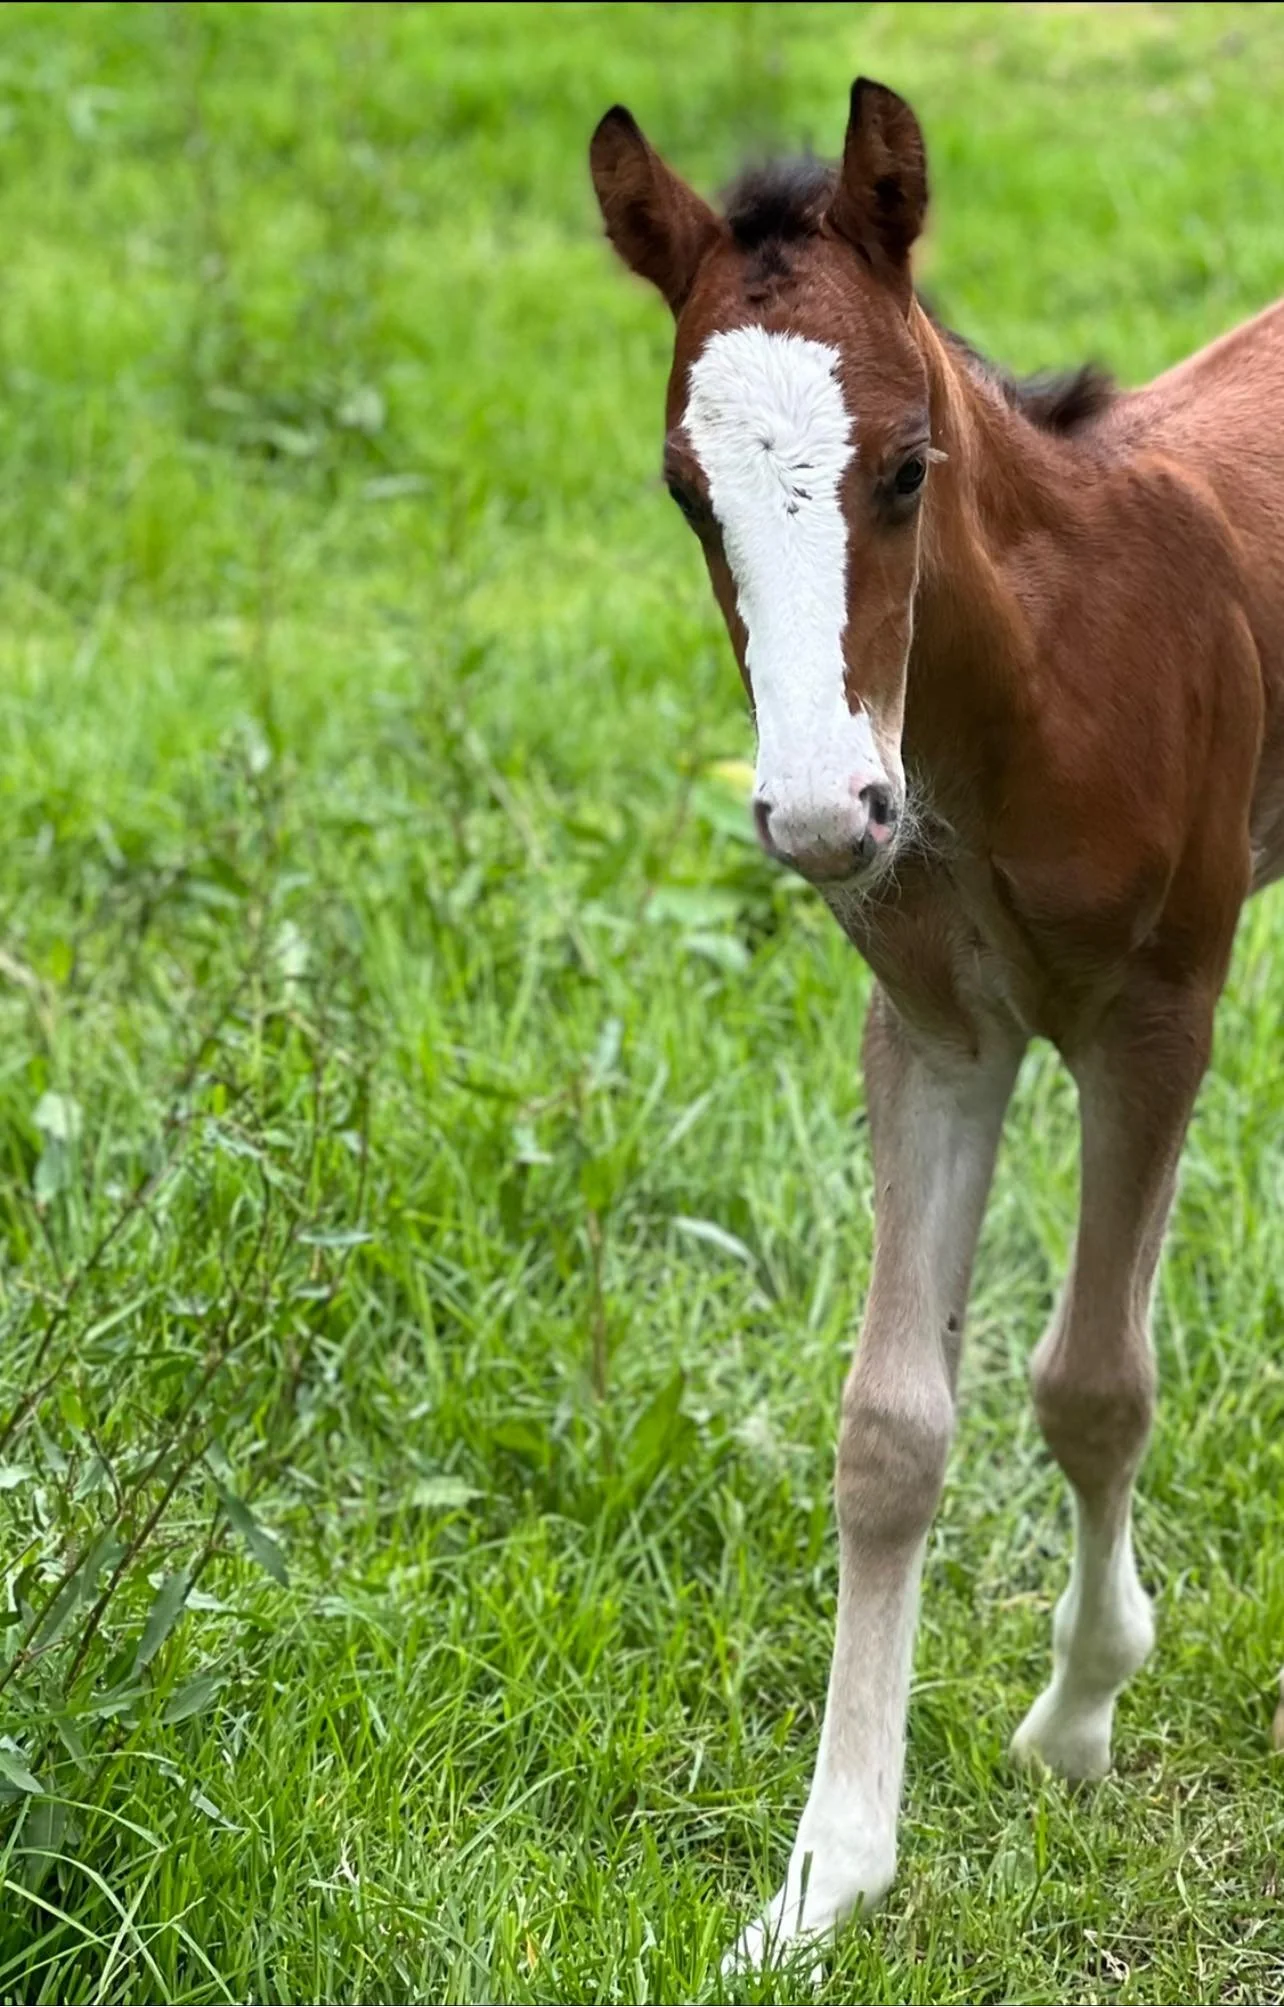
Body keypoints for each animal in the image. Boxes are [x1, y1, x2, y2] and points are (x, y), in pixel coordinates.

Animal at [589, 77, 1284, 1966]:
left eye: (908, 466)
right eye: (685, 492)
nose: (826, 814)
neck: (1034, 683)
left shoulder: (1156, 1010)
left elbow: (1093, 1382)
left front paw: (1080, 1712)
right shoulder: (931, 1033)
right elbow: (889, 1431)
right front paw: (824, 1871)